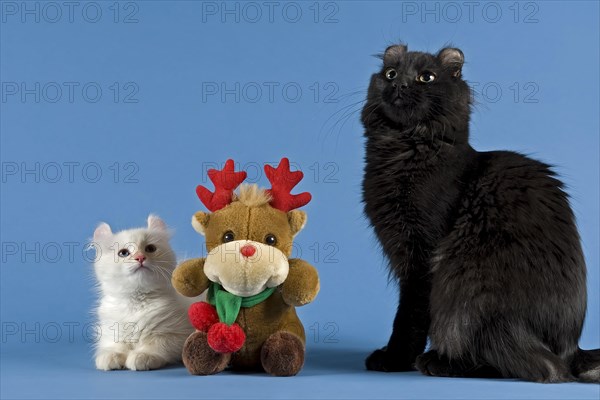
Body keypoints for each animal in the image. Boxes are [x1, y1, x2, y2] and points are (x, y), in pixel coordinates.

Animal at [92, 216, 195, 372]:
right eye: (123, 253)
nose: (140, 257)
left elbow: (156, 344)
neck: (136, 302)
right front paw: (111, 356)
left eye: (150, 249)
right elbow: (115, 345)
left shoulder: (177, 335)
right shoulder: (111, 331)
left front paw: (142, 356)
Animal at [360, 42, 600, 382]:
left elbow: (409, 317)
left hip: (469, 294)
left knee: (533, 365)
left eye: (426, 77)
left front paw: (394, 358)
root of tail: (572, 348)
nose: (400, 85)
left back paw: (438, 362)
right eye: (391, 74)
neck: (403, 148)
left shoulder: (421, 258)